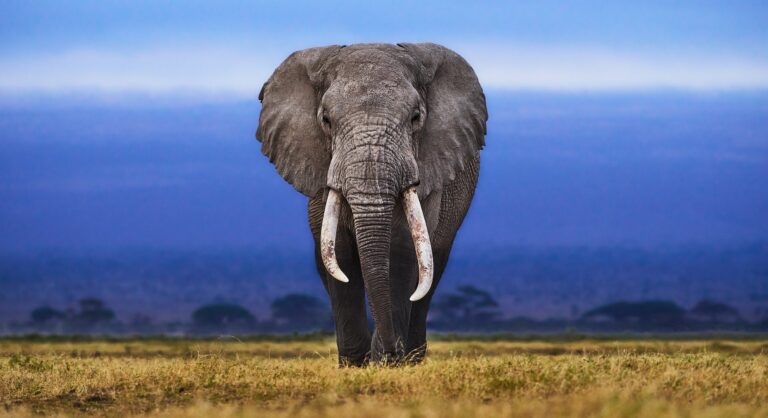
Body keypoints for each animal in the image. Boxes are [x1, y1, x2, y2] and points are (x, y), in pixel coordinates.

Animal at [255, 43, 487, 365]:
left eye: (416, 117)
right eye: (326, 120)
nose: (391, 351)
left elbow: (402, 251)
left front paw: (386, 363)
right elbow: (339, 255)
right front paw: (356, 364)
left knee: (430, 274)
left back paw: (412, 357)